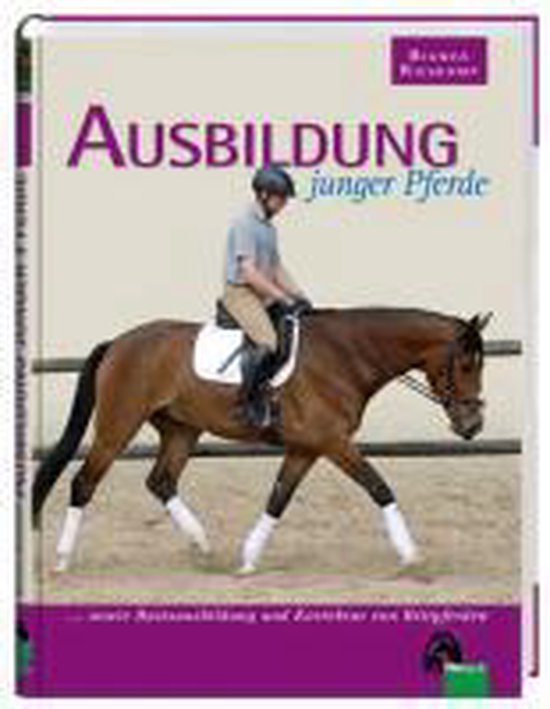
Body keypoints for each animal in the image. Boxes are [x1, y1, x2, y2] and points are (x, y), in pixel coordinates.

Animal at [32, 307, 491, 575]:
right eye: (466, 365)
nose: (472, 425)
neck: (346, 354)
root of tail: (118, 343)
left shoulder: (307, 447)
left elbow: (278, 499)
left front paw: (250, 558)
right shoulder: (333, 441)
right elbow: (379, 487)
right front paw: (411, 555)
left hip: (181, 429)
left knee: (161, 481)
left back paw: (202, 546)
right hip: (119, 425)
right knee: (84, 483)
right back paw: (62, 560)